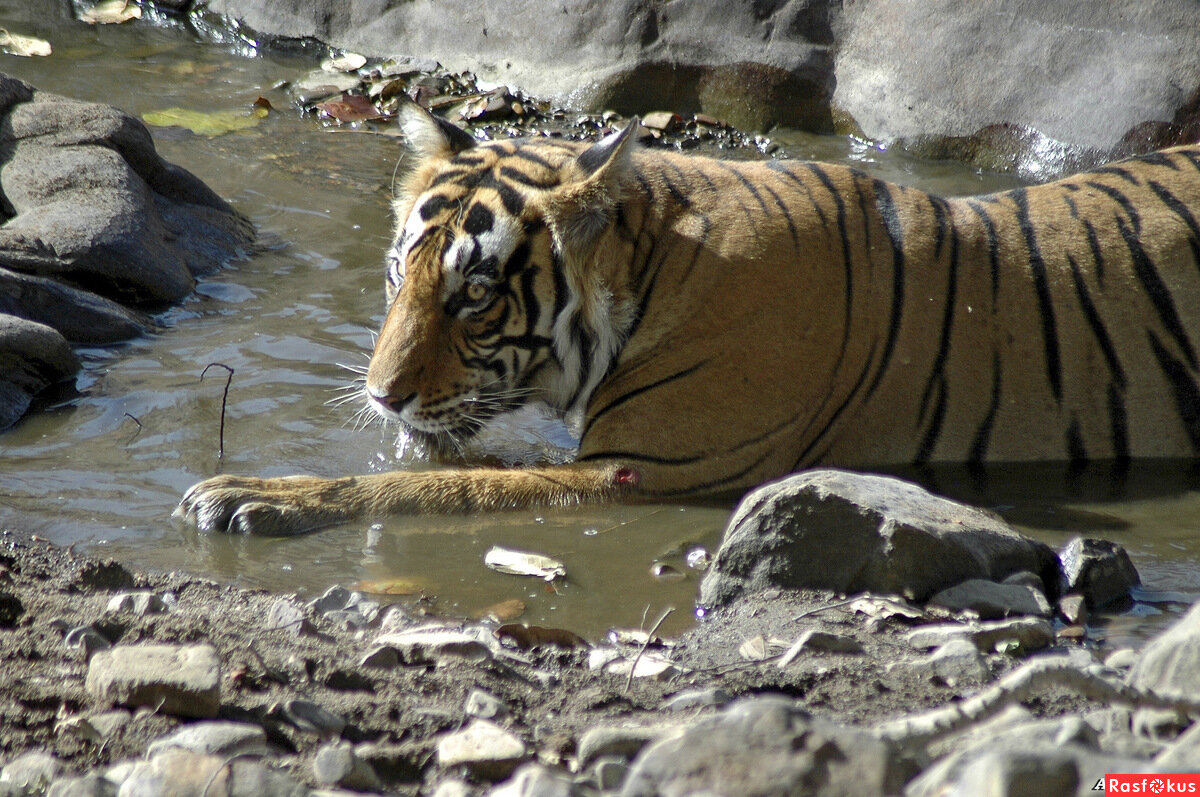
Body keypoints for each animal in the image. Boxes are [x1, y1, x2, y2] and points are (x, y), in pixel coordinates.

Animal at [175, 99, 1200, 535]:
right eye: (399, 280)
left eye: (476, 294)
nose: (382, 399)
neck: (654, 263)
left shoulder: (640, 470)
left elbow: (434, 488)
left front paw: (254, 493)